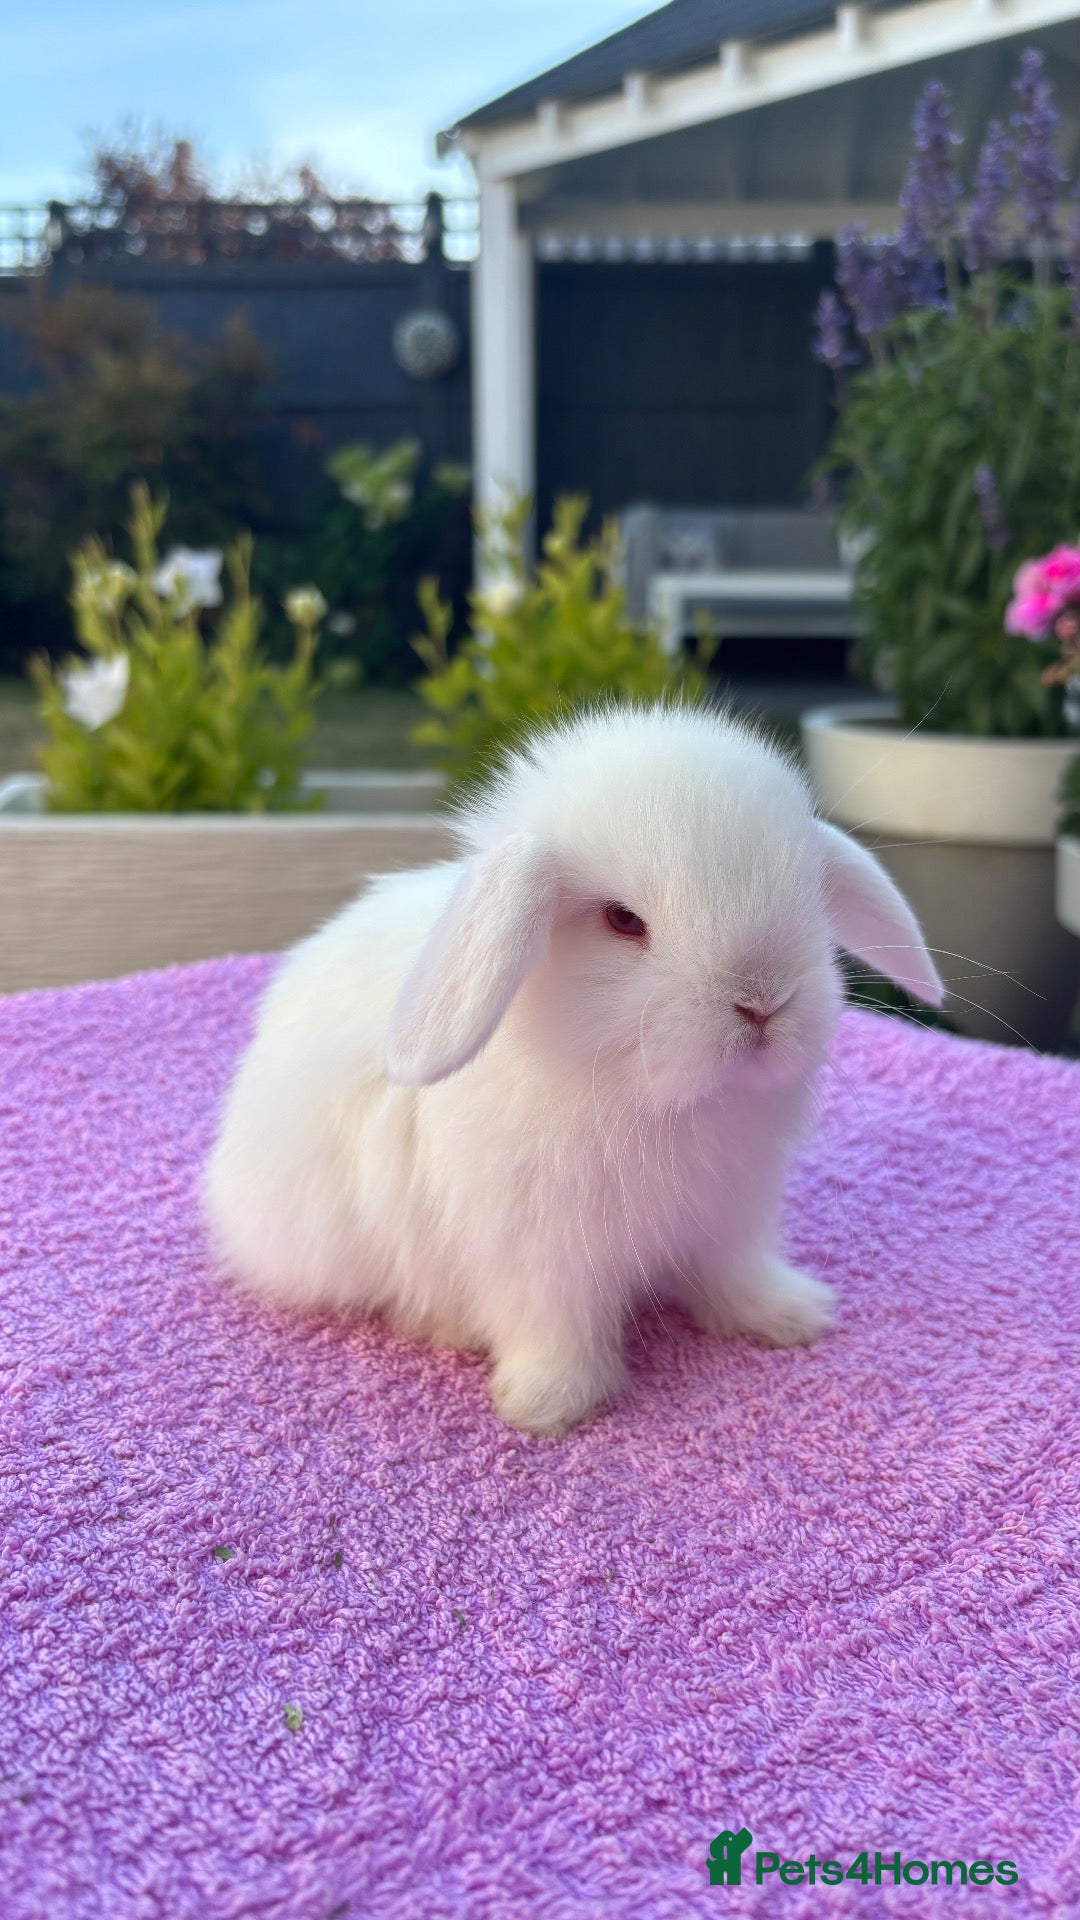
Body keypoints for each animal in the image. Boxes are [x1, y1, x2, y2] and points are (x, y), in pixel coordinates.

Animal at [205, 703, 943, 1434]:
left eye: (810, 892)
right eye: (622, 920)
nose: (763, 1000)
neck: (652, 1098)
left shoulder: (730, 1218)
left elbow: (734, 1278)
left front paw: (790, 1316)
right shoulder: (539, 1254)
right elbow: (554, 1329)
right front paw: (549, 1406)